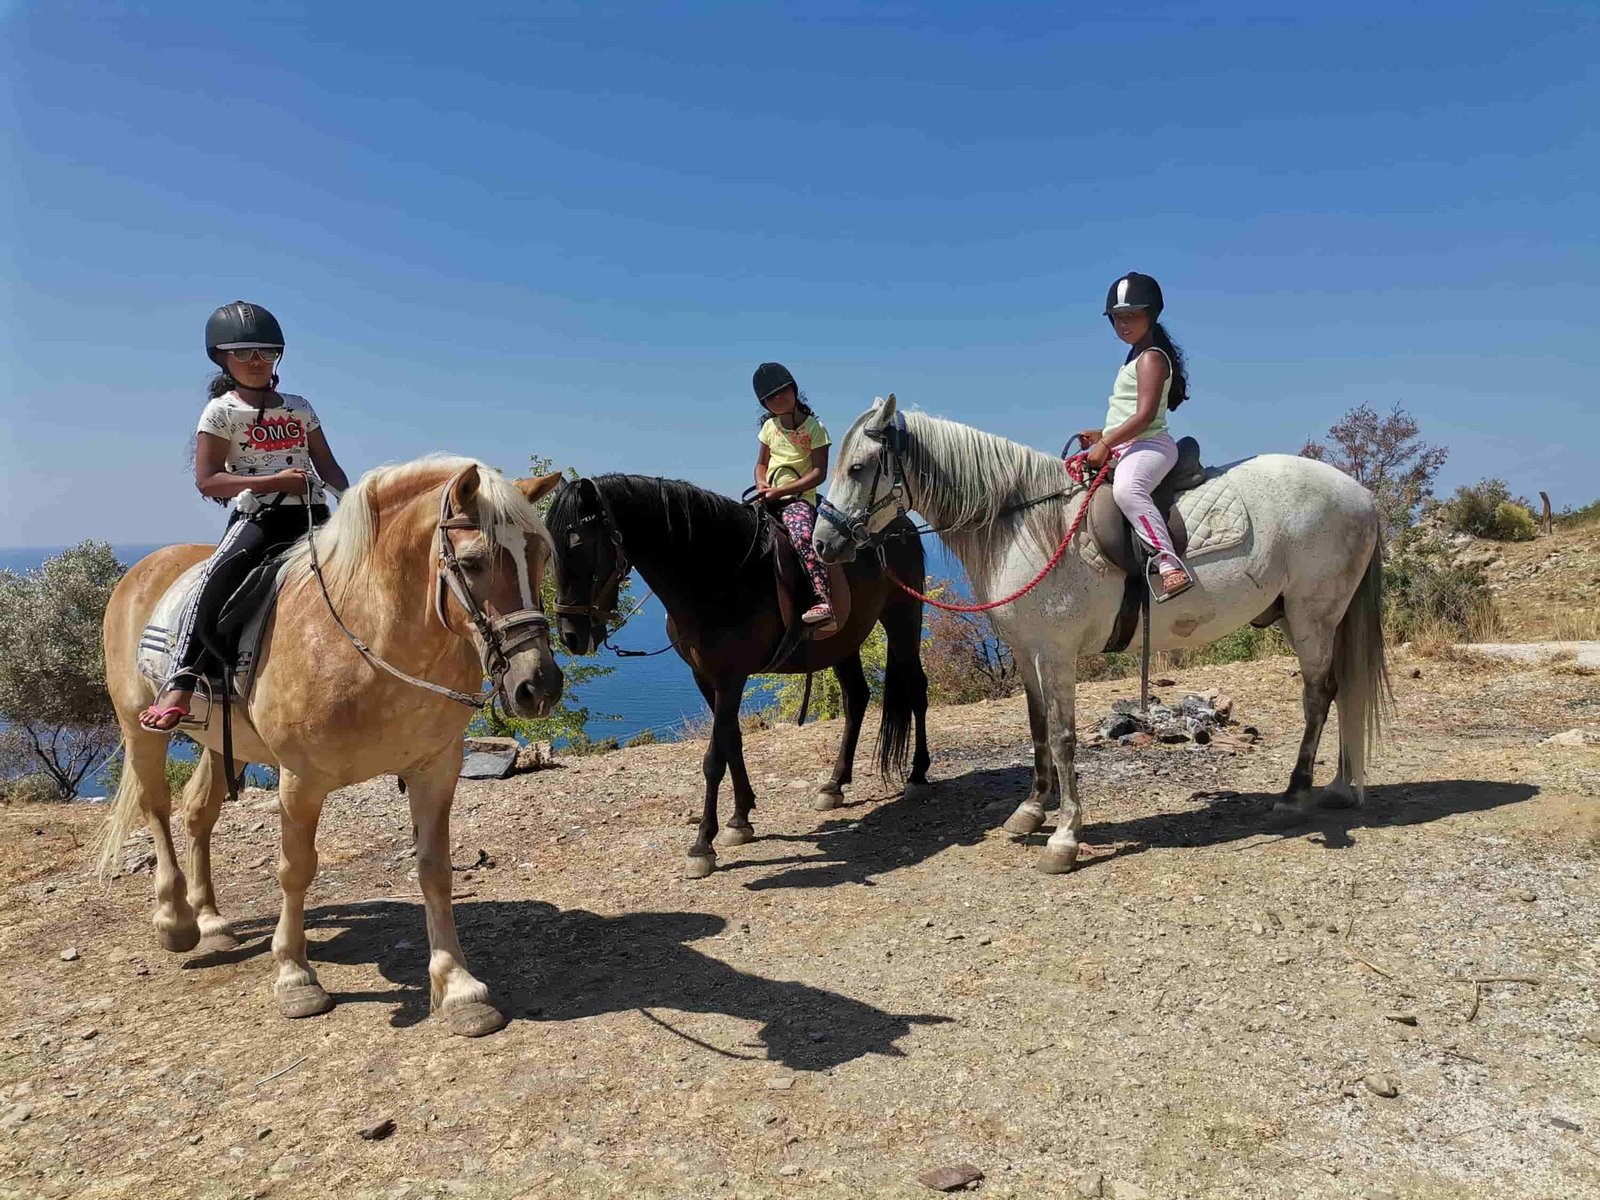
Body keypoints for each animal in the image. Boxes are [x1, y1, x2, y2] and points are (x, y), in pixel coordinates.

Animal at [100, 456, 564, 1035]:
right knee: (157, 807)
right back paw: (175, 920)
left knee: (197, 812)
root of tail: (142, 570)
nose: (538, 685)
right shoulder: (301, 780)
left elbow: (435, 870)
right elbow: (295, 869)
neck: (367, 639)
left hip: (220, 742)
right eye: (474, 562)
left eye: (541, 556)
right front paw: (296, 978)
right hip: (140, 727)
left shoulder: (436, 767)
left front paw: (459, 988)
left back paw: (211, 921)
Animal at [545, 474, 932, 879]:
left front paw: (703, 844)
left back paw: (917, 775)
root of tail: (901, 525)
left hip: (904, 616)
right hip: (845, 640)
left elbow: (714, 758)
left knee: (916, 689)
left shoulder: (731, 677)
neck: (717, 574)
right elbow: (732, 742)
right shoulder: (704, 676)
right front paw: (740, 819)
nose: (570, 635)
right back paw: (834, 785)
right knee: (856, 699)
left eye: (579, 544)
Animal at [814, 396, 1391, 873]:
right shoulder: (1028, 652)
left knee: (1318, 696)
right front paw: (1031, 810)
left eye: (858, 467)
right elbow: (1038, 730)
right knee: (1340, 691)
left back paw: (1296, 795)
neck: (1024, 525)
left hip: (1313, 617)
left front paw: (1065, 837)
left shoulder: (1056, 654)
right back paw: (1339, 787)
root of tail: (1360, 493)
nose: (822, 544)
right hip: (1313, 618)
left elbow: (1065, 738)